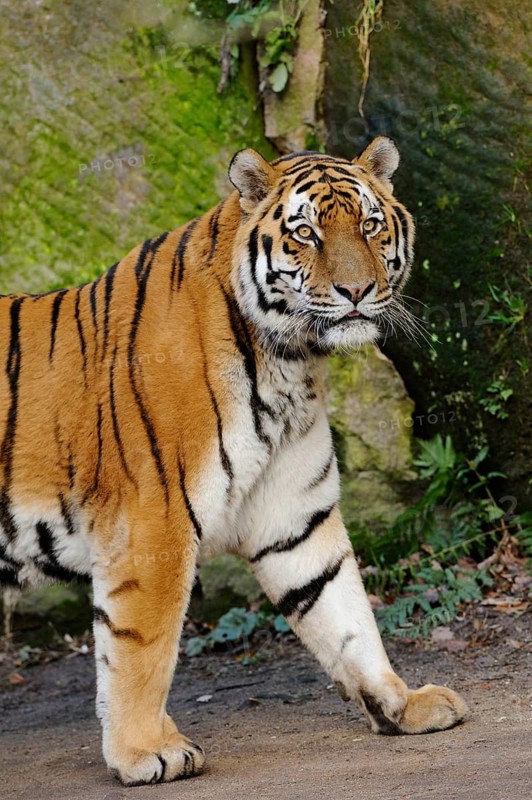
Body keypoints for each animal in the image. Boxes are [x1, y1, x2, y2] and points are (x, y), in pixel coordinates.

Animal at [0, 136, 468, 786]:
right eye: (307, 233)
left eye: (370, 226)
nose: (355, 292)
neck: (290, 362)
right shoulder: (153, 520)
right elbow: (142, 645)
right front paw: (146, 752)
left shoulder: (296, 515)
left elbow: (344, 612)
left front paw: (401, 704)